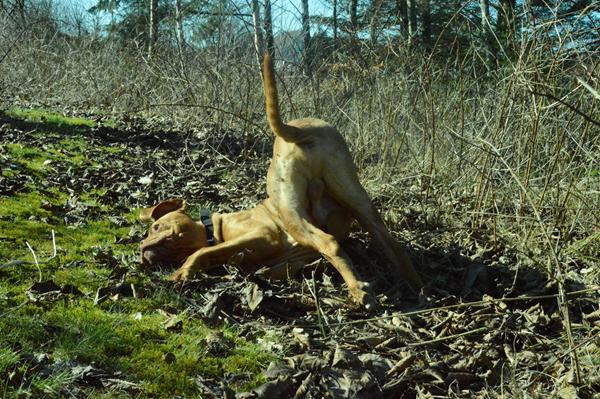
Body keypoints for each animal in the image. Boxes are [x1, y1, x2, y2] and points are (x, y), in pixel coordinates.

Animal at [139, 53, 424, 310]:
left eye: (156, 227)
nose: (142, 250)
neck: (213, 228)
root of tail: (300, 130)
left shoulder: (263, 235)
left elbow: (200, 252)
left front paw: (183, 271)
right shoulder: (287, 258)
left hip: (290, 207)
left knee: (330, 243)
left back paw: (360, 292)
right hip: (356, 197)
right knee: (389, 243)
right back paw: (414, 286)